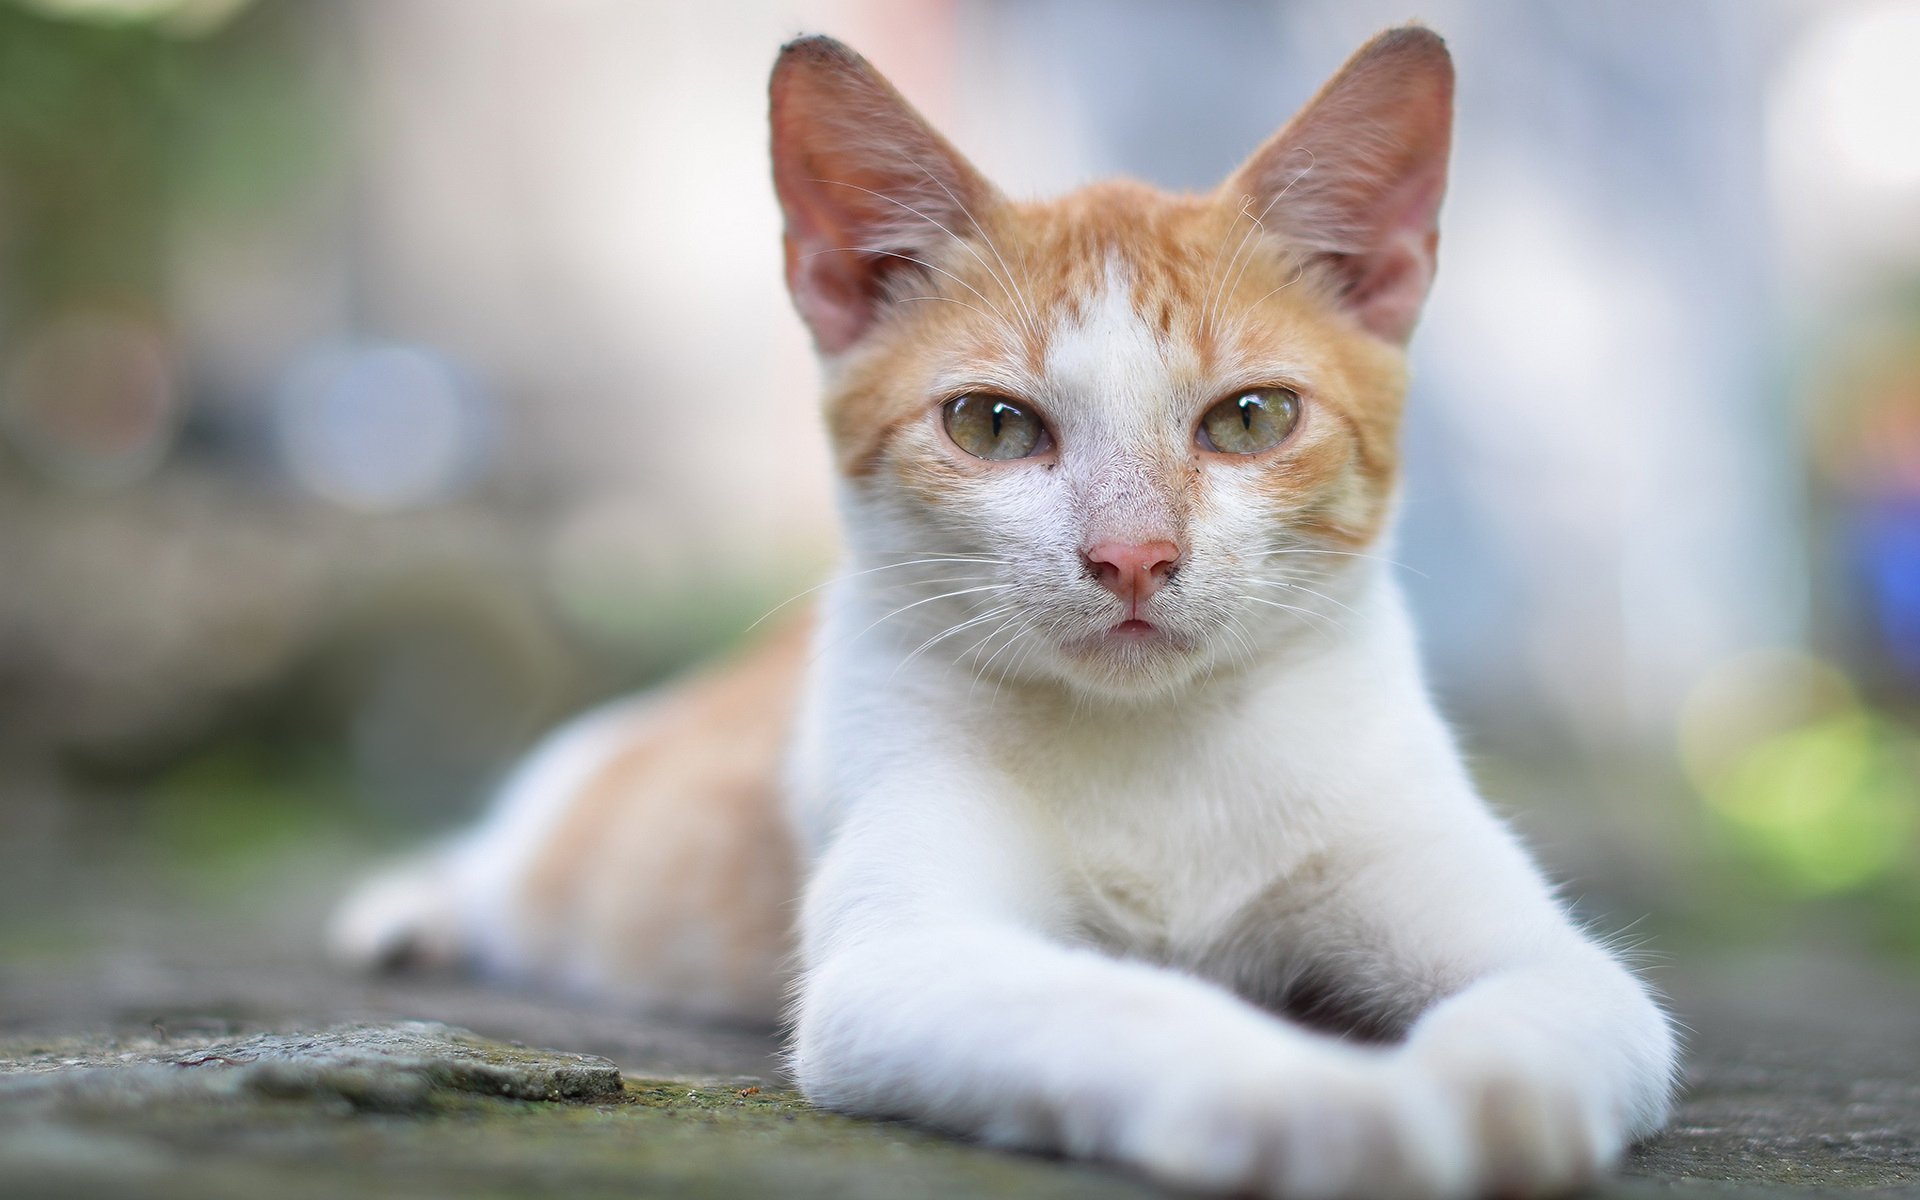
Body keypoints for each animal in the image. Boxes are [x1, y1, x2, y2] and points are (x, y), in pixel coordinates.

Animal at [334, 28, 1681, 1198]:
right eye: (991, 425)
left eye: (1252, 418)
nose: (1134, 554)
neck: (1160, 751)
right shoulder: (902, 957)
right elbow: (1116, 1001)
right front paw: (1325, 1100)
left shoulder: (1518, 929)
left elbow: (1564, 1000)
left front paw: (1492, 1099)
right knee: (506, 853)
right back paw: (414, 906)